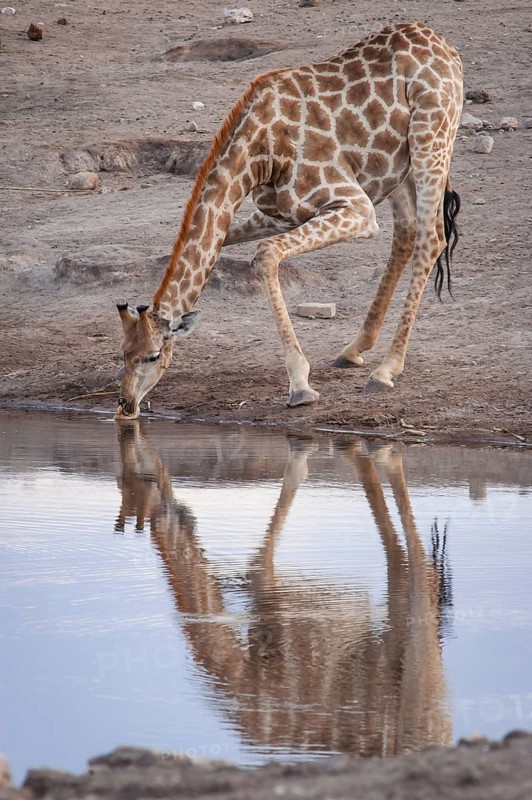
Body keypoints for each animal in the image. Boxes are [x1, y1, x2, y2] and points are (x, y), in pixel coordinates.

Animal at [115, 22, 463, 419]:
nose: (126, 404)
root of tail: (444, 45)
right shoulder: (282, 213)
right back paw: (354, 349)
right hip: (397, 167)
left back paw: (386, 369)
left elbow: (266, 255)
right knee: (406, 234)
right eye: (123, 354)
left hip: (431, 138)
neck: (260, 153)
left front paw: (300, 384)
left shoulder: (356, 207)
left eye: (153, 356)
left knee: (431, 238)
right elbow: (221, 244)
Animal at [115, 422, 452, 756]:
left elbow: (282, 505)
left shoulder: (273, 594)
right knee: (406, 573)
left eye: (140, 479)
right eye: (122, 479)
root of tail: (443, 734)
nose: (159, 468)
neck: (239, 670)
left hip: (415, 669)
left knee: (418, 573)